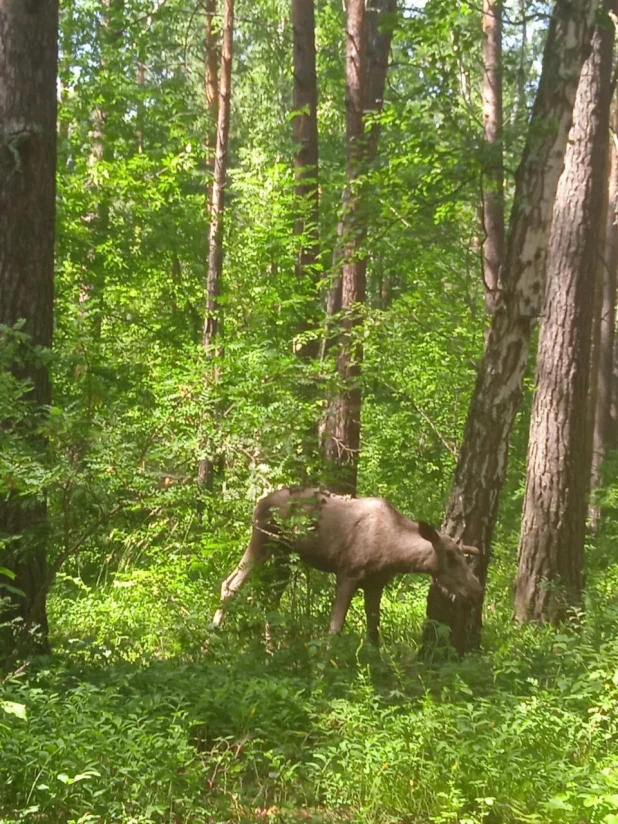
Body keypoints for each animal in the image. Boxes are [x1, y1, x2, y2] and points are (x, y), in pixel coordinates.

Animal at [212, 490, 482, 644]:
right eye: (450, 556)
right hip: (262, 539)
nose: (477, 590)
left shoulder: (375, 585)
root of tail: (259, 502)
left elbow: (374, 633)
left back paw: (269, 649)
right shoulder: (347, 574)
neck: (393, 553)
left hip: (283, 555)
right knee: (231, 584)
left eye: (463, 555)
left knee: (270, 601)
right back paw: (211, 638)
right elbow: (334, 629)